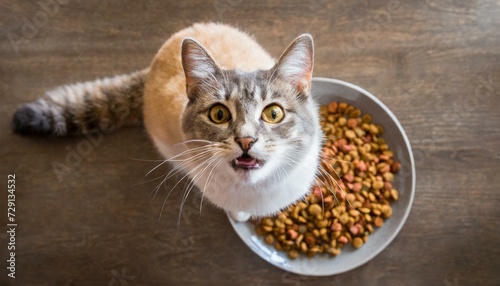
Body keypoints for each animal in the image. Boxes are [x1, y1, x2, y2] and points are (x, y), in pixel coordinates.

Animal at [13, 23, 324, 222]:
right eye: (219, 115)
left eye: (273, 114)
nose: (246, 140)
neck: (256, 190)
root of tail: (152, 65)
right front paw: (240, 216)